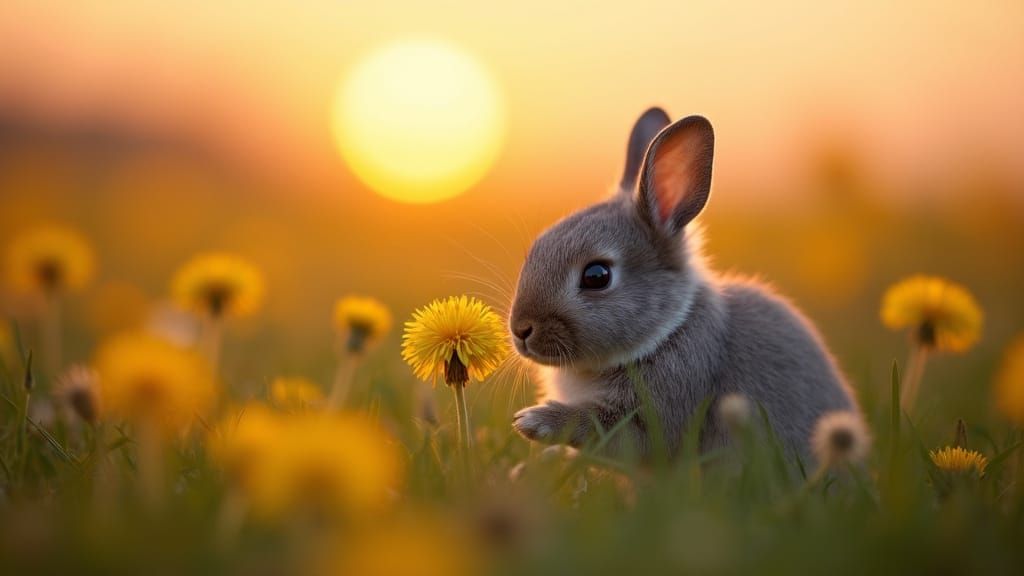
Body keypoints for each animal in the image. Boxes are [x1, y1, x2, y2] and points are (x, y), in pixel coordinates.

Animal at [509, 107, 858, 464]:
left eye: (597, 276)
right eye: (536, 248)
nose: (521, 329)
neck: (669, 330)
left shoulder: (660, 408)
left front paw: (533, 421)